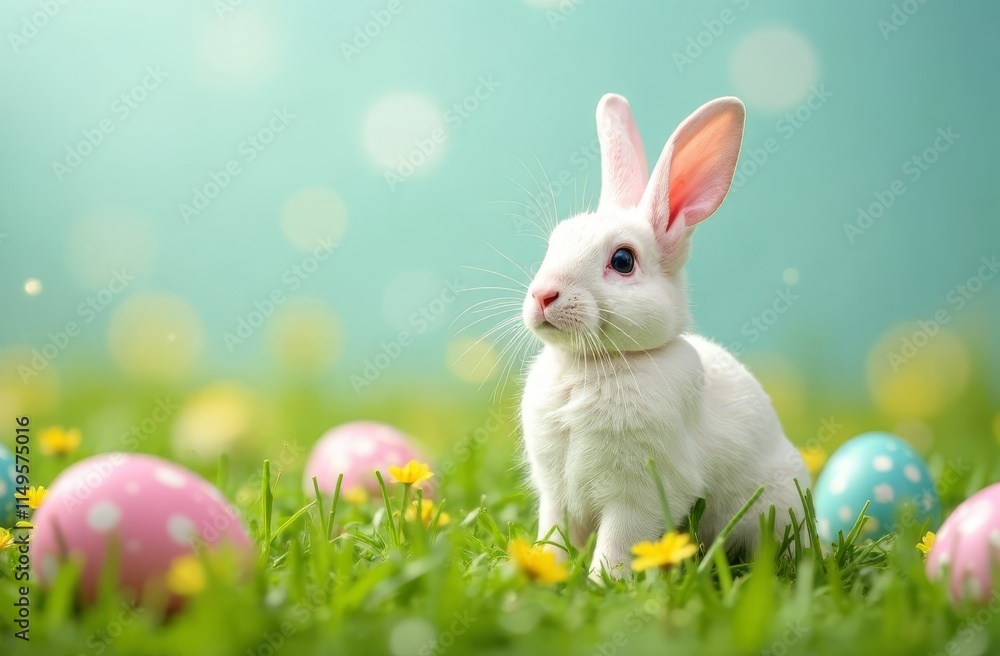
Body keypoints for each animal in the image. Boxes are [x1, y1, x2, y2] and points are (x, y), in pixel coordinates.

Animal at [519, 93, 811, 580]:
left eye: (622, 261)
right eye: (553, 243)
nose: (543, 295)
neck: (593, 364)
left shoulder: (636, 498)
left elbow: (617, 545)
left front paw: (602, 584)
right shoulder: (555, 496)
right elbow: (554, 536)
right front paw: (544, 572)